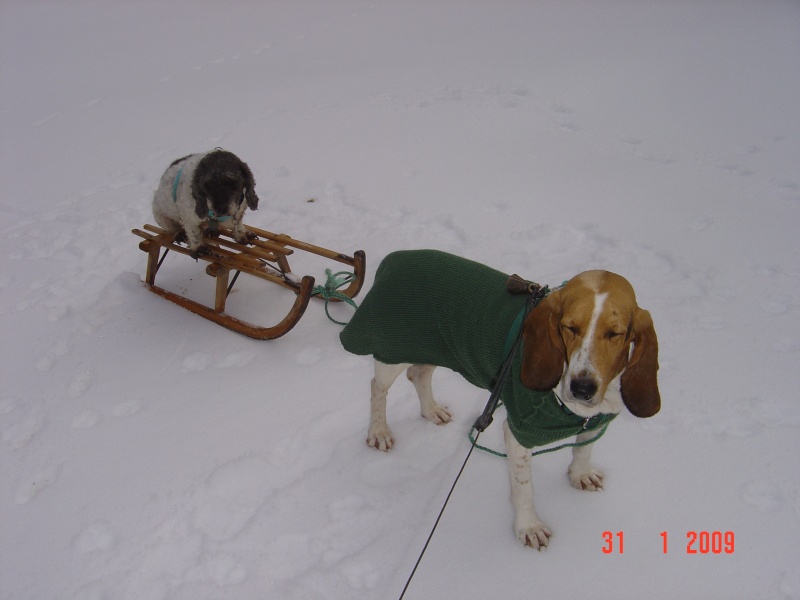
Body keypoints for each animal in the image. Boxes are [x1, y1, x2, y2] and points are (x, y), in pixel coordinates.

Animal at [356, 264, 664, 548]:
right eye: (570, 327)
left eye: (615, 333)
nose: (582, 388)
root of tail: (392, 260)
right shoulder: (518, 434)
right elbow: (524, 489)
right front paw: (529, 527)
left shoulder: (596, 420)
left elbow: (583, 449)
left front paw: (581, 475)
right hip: (392, 353)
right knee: (377, 387)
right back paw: (379, 432)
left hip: (435, 348)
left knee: (419, 374)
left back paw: (432, 410)